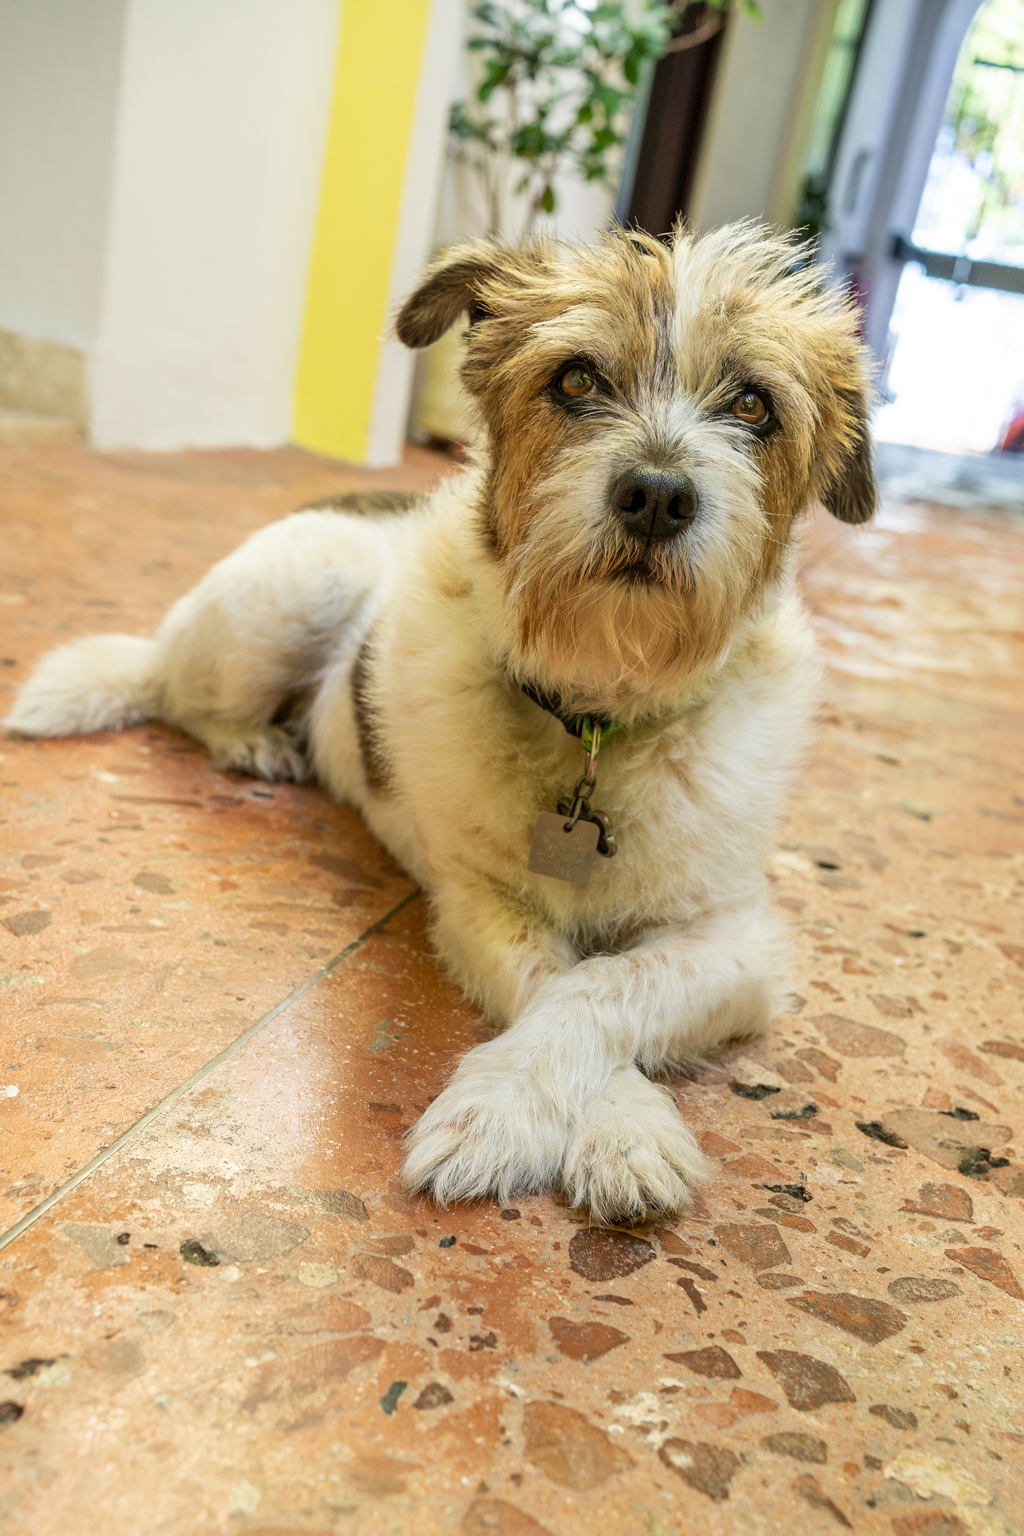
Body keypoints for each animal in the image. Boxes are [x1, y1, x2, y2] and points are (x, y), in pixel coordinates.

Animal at [6, 222, 876, 1226]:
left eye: (754, 405)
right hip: (307, 579)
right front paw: (526, 1115)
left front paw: (603, 1131)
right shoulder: (475, 902)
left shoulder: (734, 941)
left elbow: (607, 983)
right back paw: (254, 741)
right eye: (575, 379)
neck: (598, 718)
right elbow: (557, 978)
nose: (657, 496)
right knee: (182, 696)